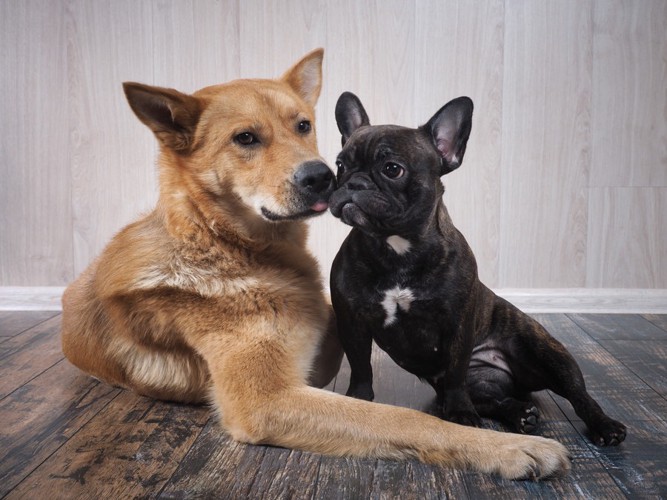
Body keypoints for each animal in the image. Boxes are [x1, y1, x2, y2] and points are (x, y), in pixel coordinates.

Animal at [62, 50, 572, 480]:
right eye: (245, 138)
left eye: (304, 125)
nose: (325, 176)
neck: (225, 245)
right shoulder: (268, 399)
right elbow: (399, 417)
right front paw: (507, 448)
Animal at [332, 93, 628, 446]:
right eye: (340, 165)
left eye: (392, 169)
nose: (353, 181)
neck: (396, 248)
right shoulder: (352, 321)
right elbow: (361, 366)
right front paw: (357, 402)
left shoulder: (458, 322)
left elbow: (456, 371)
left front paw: (460, 415)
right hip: (484, 383)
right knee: (495, 400)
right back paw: (520, 414)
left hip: (549, 353)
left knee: (579, 393)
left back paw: (604, 425)